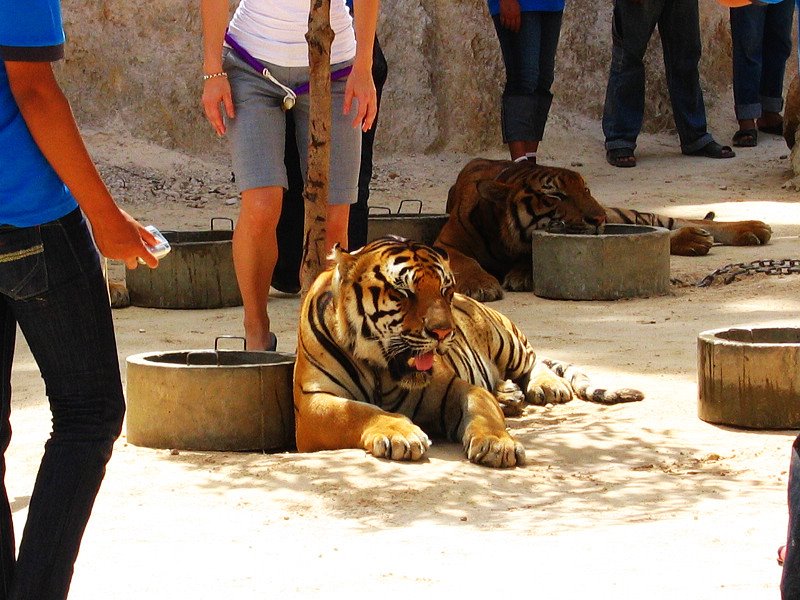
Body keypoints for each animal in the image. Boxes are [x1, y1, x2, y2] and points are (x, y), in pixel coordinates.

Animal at [294, 236, 644, 468]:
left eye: (445, 290)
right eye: (403, 292)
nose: (443, 332)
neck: (383, 370)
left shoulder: (451, 386)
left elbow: (481, 403)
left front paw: (497, 444)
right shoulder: (313, 401)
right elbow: (359, 411)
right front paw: (401, 434)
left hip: (504, 338)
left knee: (533, 361)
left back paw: (546, 387)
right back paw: (509, 395)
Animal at [434, 158, 772, 300]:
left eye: (585, 190)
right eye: (556, 195)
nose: (596, 219)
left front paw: (521, 274)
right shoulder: (446, 244)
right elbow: (465, 260)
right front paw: (481, 285)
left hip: (619, 213)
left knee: (671, 221)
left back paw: (752, 228)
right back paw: (699, 241)